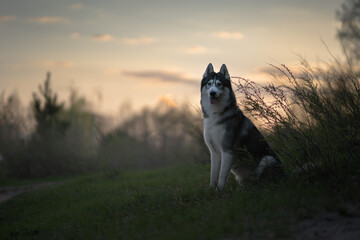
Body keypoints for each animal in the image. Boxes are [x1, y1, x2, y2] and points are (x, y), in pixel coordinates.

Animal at [200, 62, 282, 190]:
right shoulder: (214, 152)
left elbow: (221, 176)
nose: (212, 93)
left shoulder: (227, 151)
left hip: (267, 159)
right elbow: (213, 175)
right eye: (209, 84)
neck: (215, 115)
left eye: (219, 84)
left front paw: (219, 191)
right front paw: (211, 190)